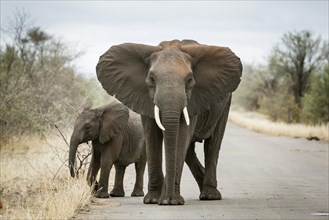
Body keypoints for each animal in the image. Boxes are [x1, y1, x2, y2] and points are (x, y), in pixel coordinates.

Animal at [95, 39, 241, 205]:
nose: (168, 200)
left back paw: (209, 195)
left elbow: (182, 135)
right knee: (189, 150)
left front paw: (171, 201)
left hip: (225, 101)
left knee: (213, 144)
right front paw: (153, 200)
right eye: (151, 79)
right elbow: (152, 136)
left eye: (189, 80)